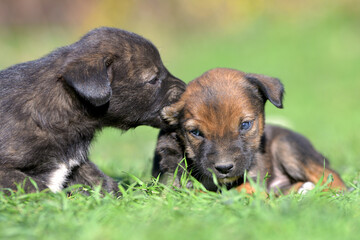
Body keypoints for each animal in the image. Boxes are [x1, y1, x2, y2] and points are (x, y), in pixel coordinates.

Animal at [0, 27, 186, 194]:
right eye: (153, 79)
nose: (186, 89)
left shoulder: (77, 165)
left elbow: (101, 180)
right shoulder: (5, 170)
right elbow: (34, 187)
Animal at [153, 67, 346, 193]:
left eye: (245, 125)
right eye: (196, 133)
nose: (224, 168)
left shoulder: (254, 179)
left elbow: (238, 190)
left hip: (288, 146)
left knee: (335, 180)